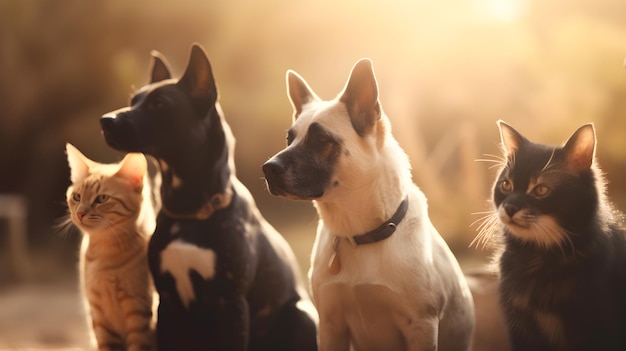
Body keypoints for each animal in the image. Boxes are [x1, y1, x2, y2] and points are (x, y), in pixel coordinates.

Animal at [64, 144, 156, 351]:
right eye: (76, 196)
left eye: (102, 199)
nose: (80, 213)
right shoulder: (98, 315)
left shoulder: (139, 311)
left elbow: (138, 344)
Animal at [102, 44, 316, 351]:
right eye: (134, 100)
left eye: (159, 104)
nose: (105, 121)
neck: (190, 213)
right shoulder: (167, 304)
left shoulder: (230, 304)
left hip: (301, 316)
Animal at [264, 59, 472, 350]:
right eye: (289, 139)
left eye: (322, 140)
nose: (267, 169)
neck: (361, 234)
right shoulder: (331, 326)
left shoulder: (421, 327)